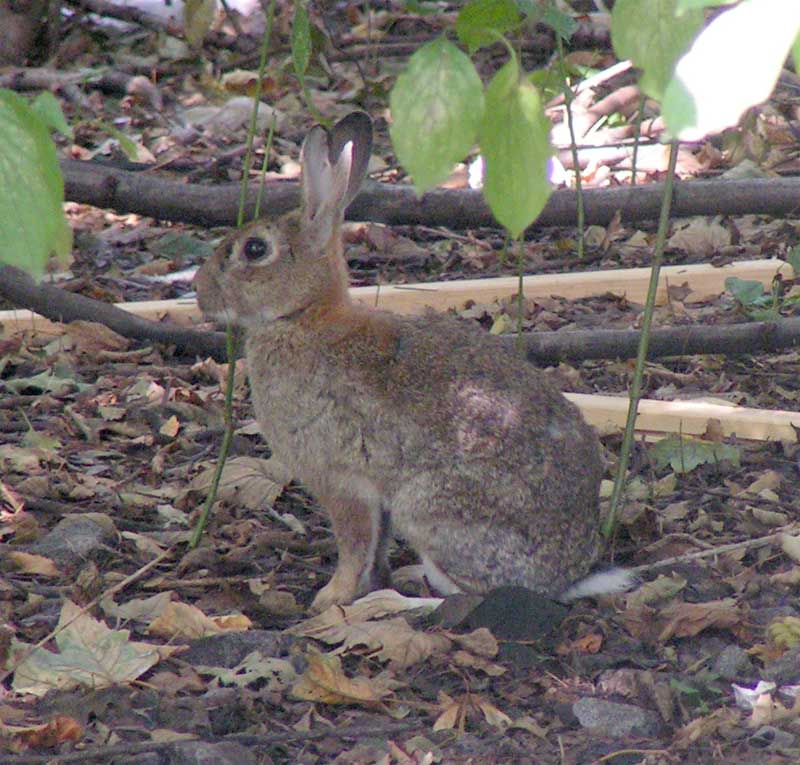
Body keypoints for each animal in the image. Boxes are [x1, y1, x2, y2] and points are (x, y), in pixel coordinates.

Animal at [195, 113, 632, 612]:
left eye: (254, 249)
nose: (199, 293)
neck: (302, 316)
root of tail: (564, 577)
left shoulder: (341, 481)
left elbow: (355, 544)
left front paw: (331, 598)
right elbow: (376, 546)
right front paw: (365, 583)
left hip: (429, 510)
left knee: (467, 598)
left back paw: (394, 603)